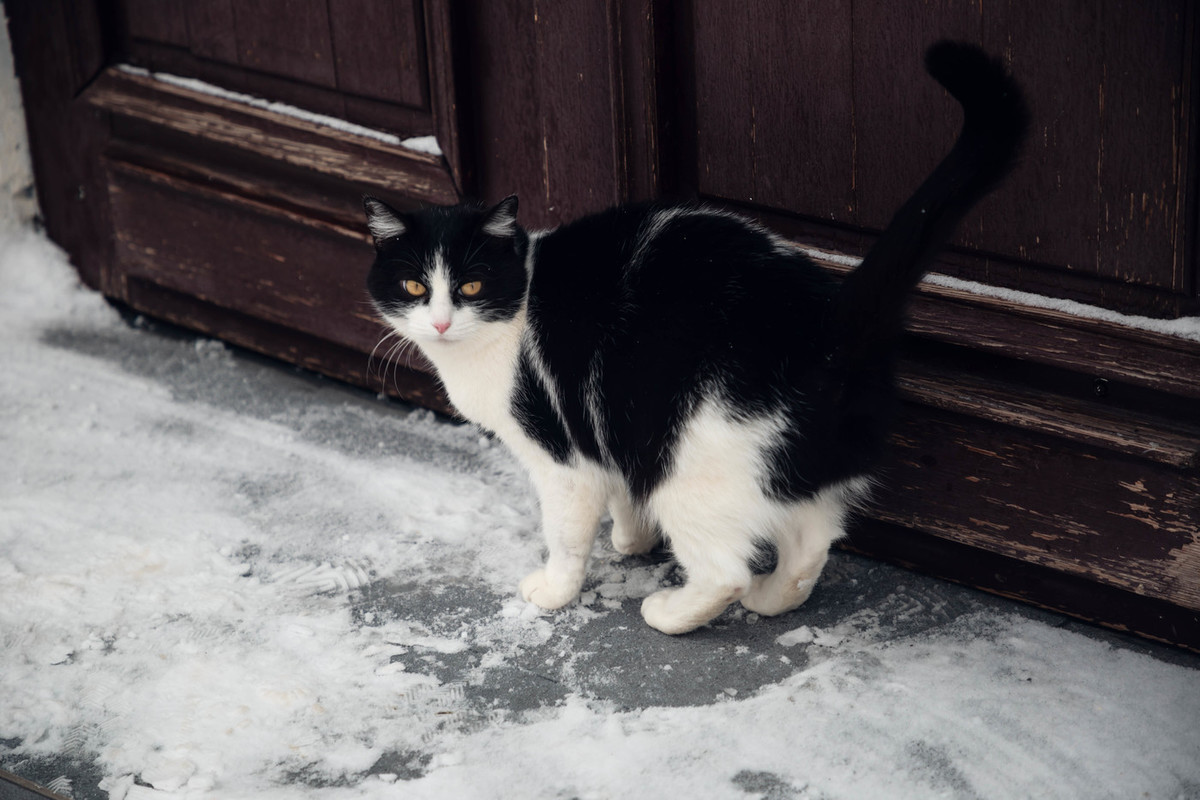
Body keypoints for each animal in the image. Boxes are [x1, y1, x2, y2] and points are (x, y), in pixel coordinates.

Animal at [360, 43, 1027, 633]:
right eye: (415, 286)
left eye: (470, 285)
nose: (440, 321)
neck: (514, 306)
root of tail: (832, 316)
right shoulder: (611, 425)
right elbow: (623, 490)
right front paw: (631, 537)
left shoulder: (562, 451)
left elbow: (567, 533)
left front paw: (554, 590)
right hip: (782, 461)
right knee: (812, 541)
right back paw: (771, 598)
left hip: (694, 461)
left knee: (726, 570)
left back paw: (671, 614)